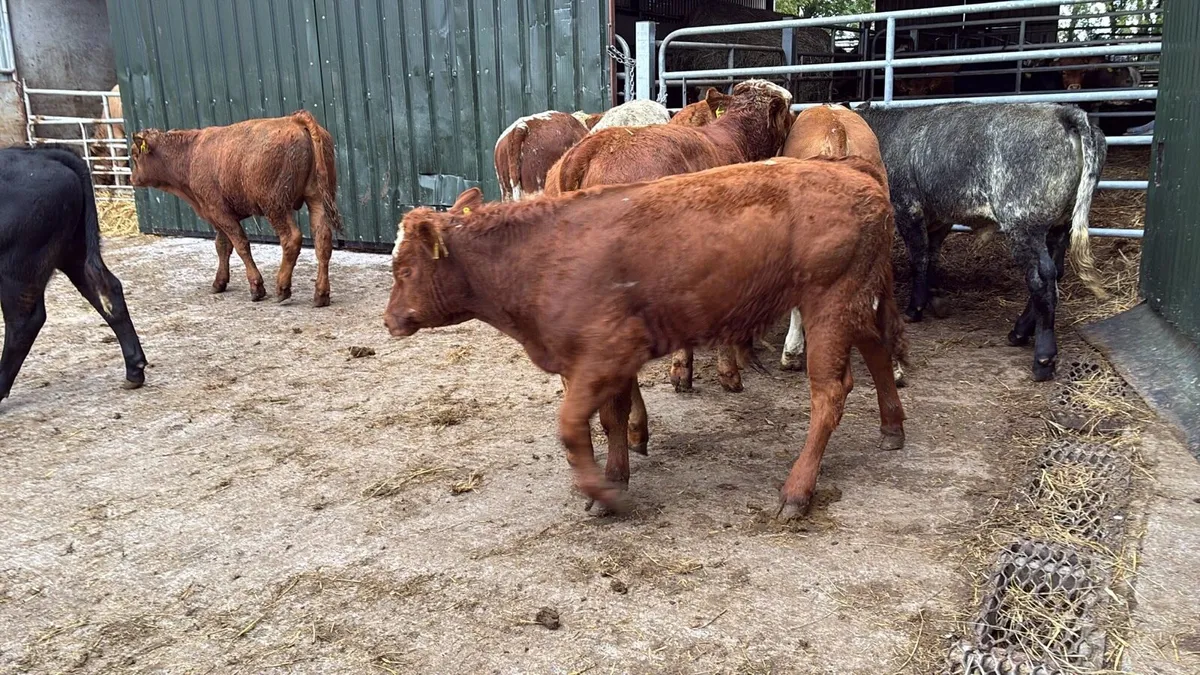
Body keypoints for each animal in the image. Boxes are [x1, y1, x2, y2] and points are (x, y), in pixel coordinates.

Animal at [0, 146, 147, 404]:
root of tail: (41, 154)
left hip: (16, 269)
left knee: (23, 322)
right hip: (73, 251)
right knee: (107, 290)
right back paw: (134, 370)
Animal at [129, 111, 342, 307]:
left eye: (134, 154)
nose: (132, 178)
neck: (190, 154)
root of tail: (295, 119)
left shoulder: (219, 211)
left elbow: (240, 245)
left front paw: (256, 287)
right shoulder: (217, 216)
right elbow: (222, 246)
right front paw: (219, 282)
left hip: (275, 206)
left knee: (291, 239)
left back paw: (282, 288)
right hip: (317, 198)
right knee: (322, 239)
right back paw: (321, 294)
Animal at [384, 157, 907, 518]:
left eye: (405, 269)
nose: (388, 320)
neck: (540, 256)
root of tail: (856, 174)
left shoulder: (605, 355)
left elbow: (572, 426)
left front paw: (603, 492)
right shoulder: (605, 364)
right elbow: (611, 420)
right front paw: (616, 476)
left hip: (830, 305)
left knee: (830, 393)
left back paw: (797, 491)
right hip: (849, 305)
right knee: (877, 351)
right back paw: (892, 429)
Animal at [855, 103, 1107, 381]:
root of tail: (1064, 112)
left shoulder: (907, 207)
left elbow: (919, 257)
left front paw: (915, 308)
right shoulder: (939, 217)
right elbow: (932, 255)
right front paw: (935, 298)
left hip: (1023, 224)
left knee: (1042, 281)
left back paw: (1043, 358)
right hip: (1060, 226)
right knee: (1055, 273)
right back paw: (1019, 332)